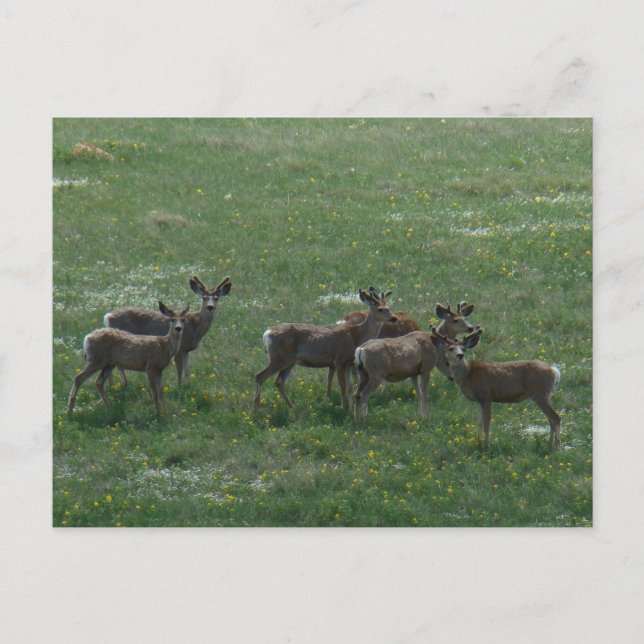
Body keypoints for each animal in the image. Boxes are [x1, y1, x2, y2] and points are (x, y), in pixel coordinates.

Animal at [253, 289, 397, 414]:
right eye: (380, 309)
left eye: (389, 307)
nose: (394, 318)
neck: (357, 335)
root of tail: (267, 333)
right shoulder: (340, 360)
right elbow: (342, 387)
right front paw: (344, 408)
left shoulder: (349, 364)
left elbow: (350, 388)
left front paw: (350, 408)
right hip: (278, 358)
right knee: (260, 376)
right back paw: (256, 411)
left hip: (289, 362)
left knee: (279, 381)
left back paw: (291, 407)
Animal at [430, 327, 561, 449]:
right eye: (450, 348)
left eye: (464, 349)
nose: (460, 355)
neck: (468, 375)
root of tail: (555, 371)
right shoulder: (479, 400)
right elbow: (479, 422)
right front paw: (479, 443)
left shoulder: (486, 396)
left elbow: (487, 423)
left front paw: (487, 446)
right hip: (544, 395)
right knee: (551, 419)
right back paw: (550, 444)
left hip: (540, 394)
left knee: (556, 417)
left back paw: (555, 445)